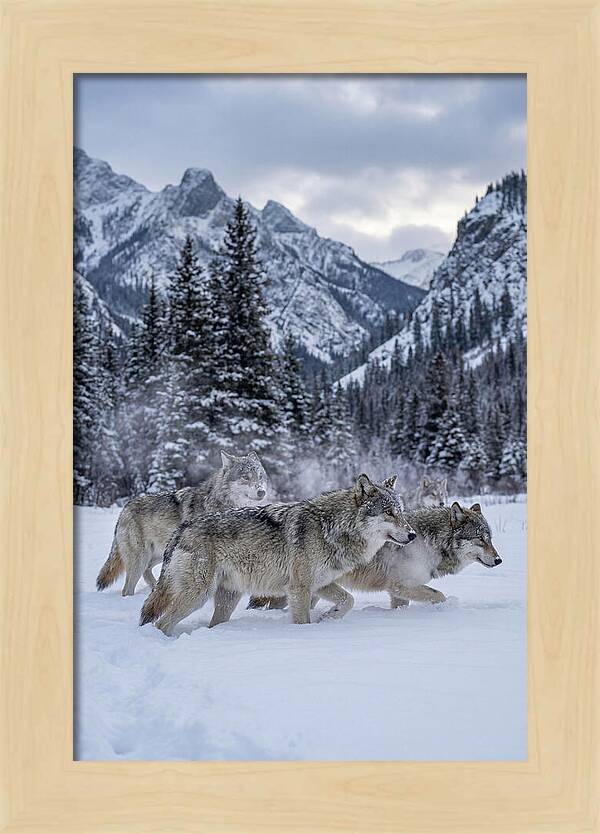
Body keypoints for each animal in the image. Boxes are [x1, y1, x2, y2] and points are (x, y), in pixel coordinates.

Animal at [96, 450, 268, 596]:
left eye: (260, 476)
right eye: (245, 477)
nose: (262, 492)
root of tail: (125, 507)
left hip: (159, 554)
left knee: (147, 572)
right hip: (141, 559)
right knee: (127, 589)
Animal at [139, 474, 416, 635]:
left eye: (401, 511)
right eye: (389, 512)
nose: (413, 535)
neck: (332, 527)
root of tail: (182, 528)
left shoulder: (321, 584)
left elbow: (348, 600)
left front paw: (329, 617)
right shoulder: (299, 588)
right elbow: (303, 620)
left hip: (227, 598)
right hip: (197, 596)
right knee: (161, 623)